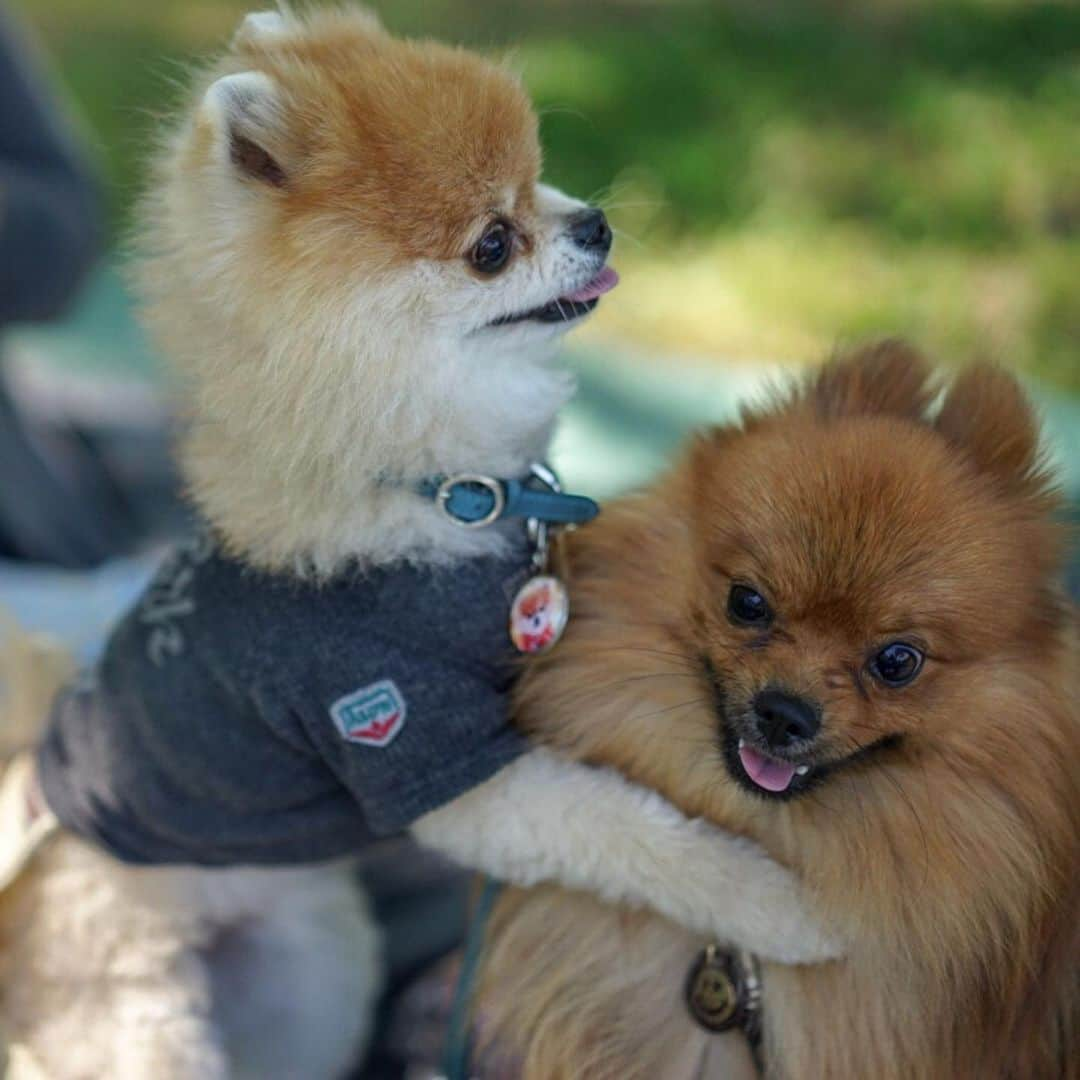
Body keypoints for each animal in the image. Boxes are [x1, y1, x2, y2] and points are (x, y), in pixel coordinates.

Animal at [0, 8, 833, 1080]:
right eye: (492, 244)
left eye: (542, 177)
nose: (596, 222)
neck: (451, 490)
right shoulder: (418, 739)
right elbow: (630, 830)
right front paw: (775, 903)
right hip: (135, 1019)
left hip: (311, 966)